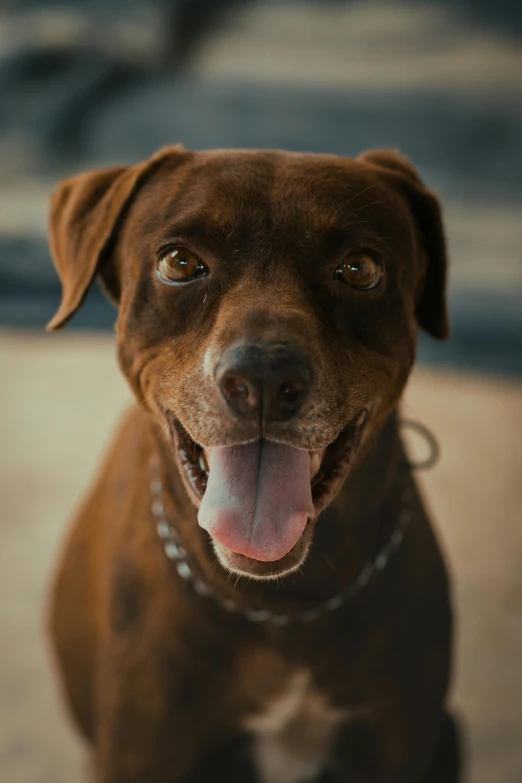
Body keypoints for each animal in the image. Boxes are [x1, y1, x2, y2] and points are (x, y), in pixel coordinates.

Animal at [46, 149, 458, 783]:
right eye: (179, 262)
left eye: (359, 268)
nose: (264, 375)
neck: (281, 606)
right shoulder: (145, 744)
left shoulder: (395, 742)